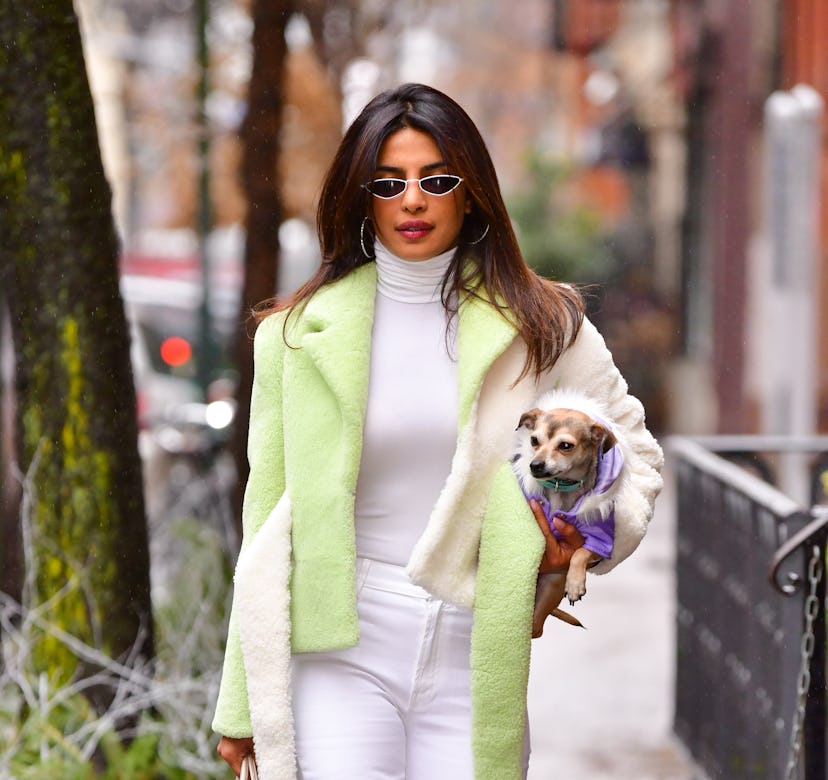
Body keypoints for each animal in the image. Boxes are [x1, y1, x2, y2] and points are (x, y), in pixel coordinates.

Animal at [512, 386, 620, 636]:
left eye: (565, 446)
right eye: (534, 440)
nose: (535, 465)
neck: (560, 486)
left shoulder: (600, 542)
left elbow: (580, 552)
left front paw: (575, 584)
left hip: (549, 588)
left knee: (536, 629)